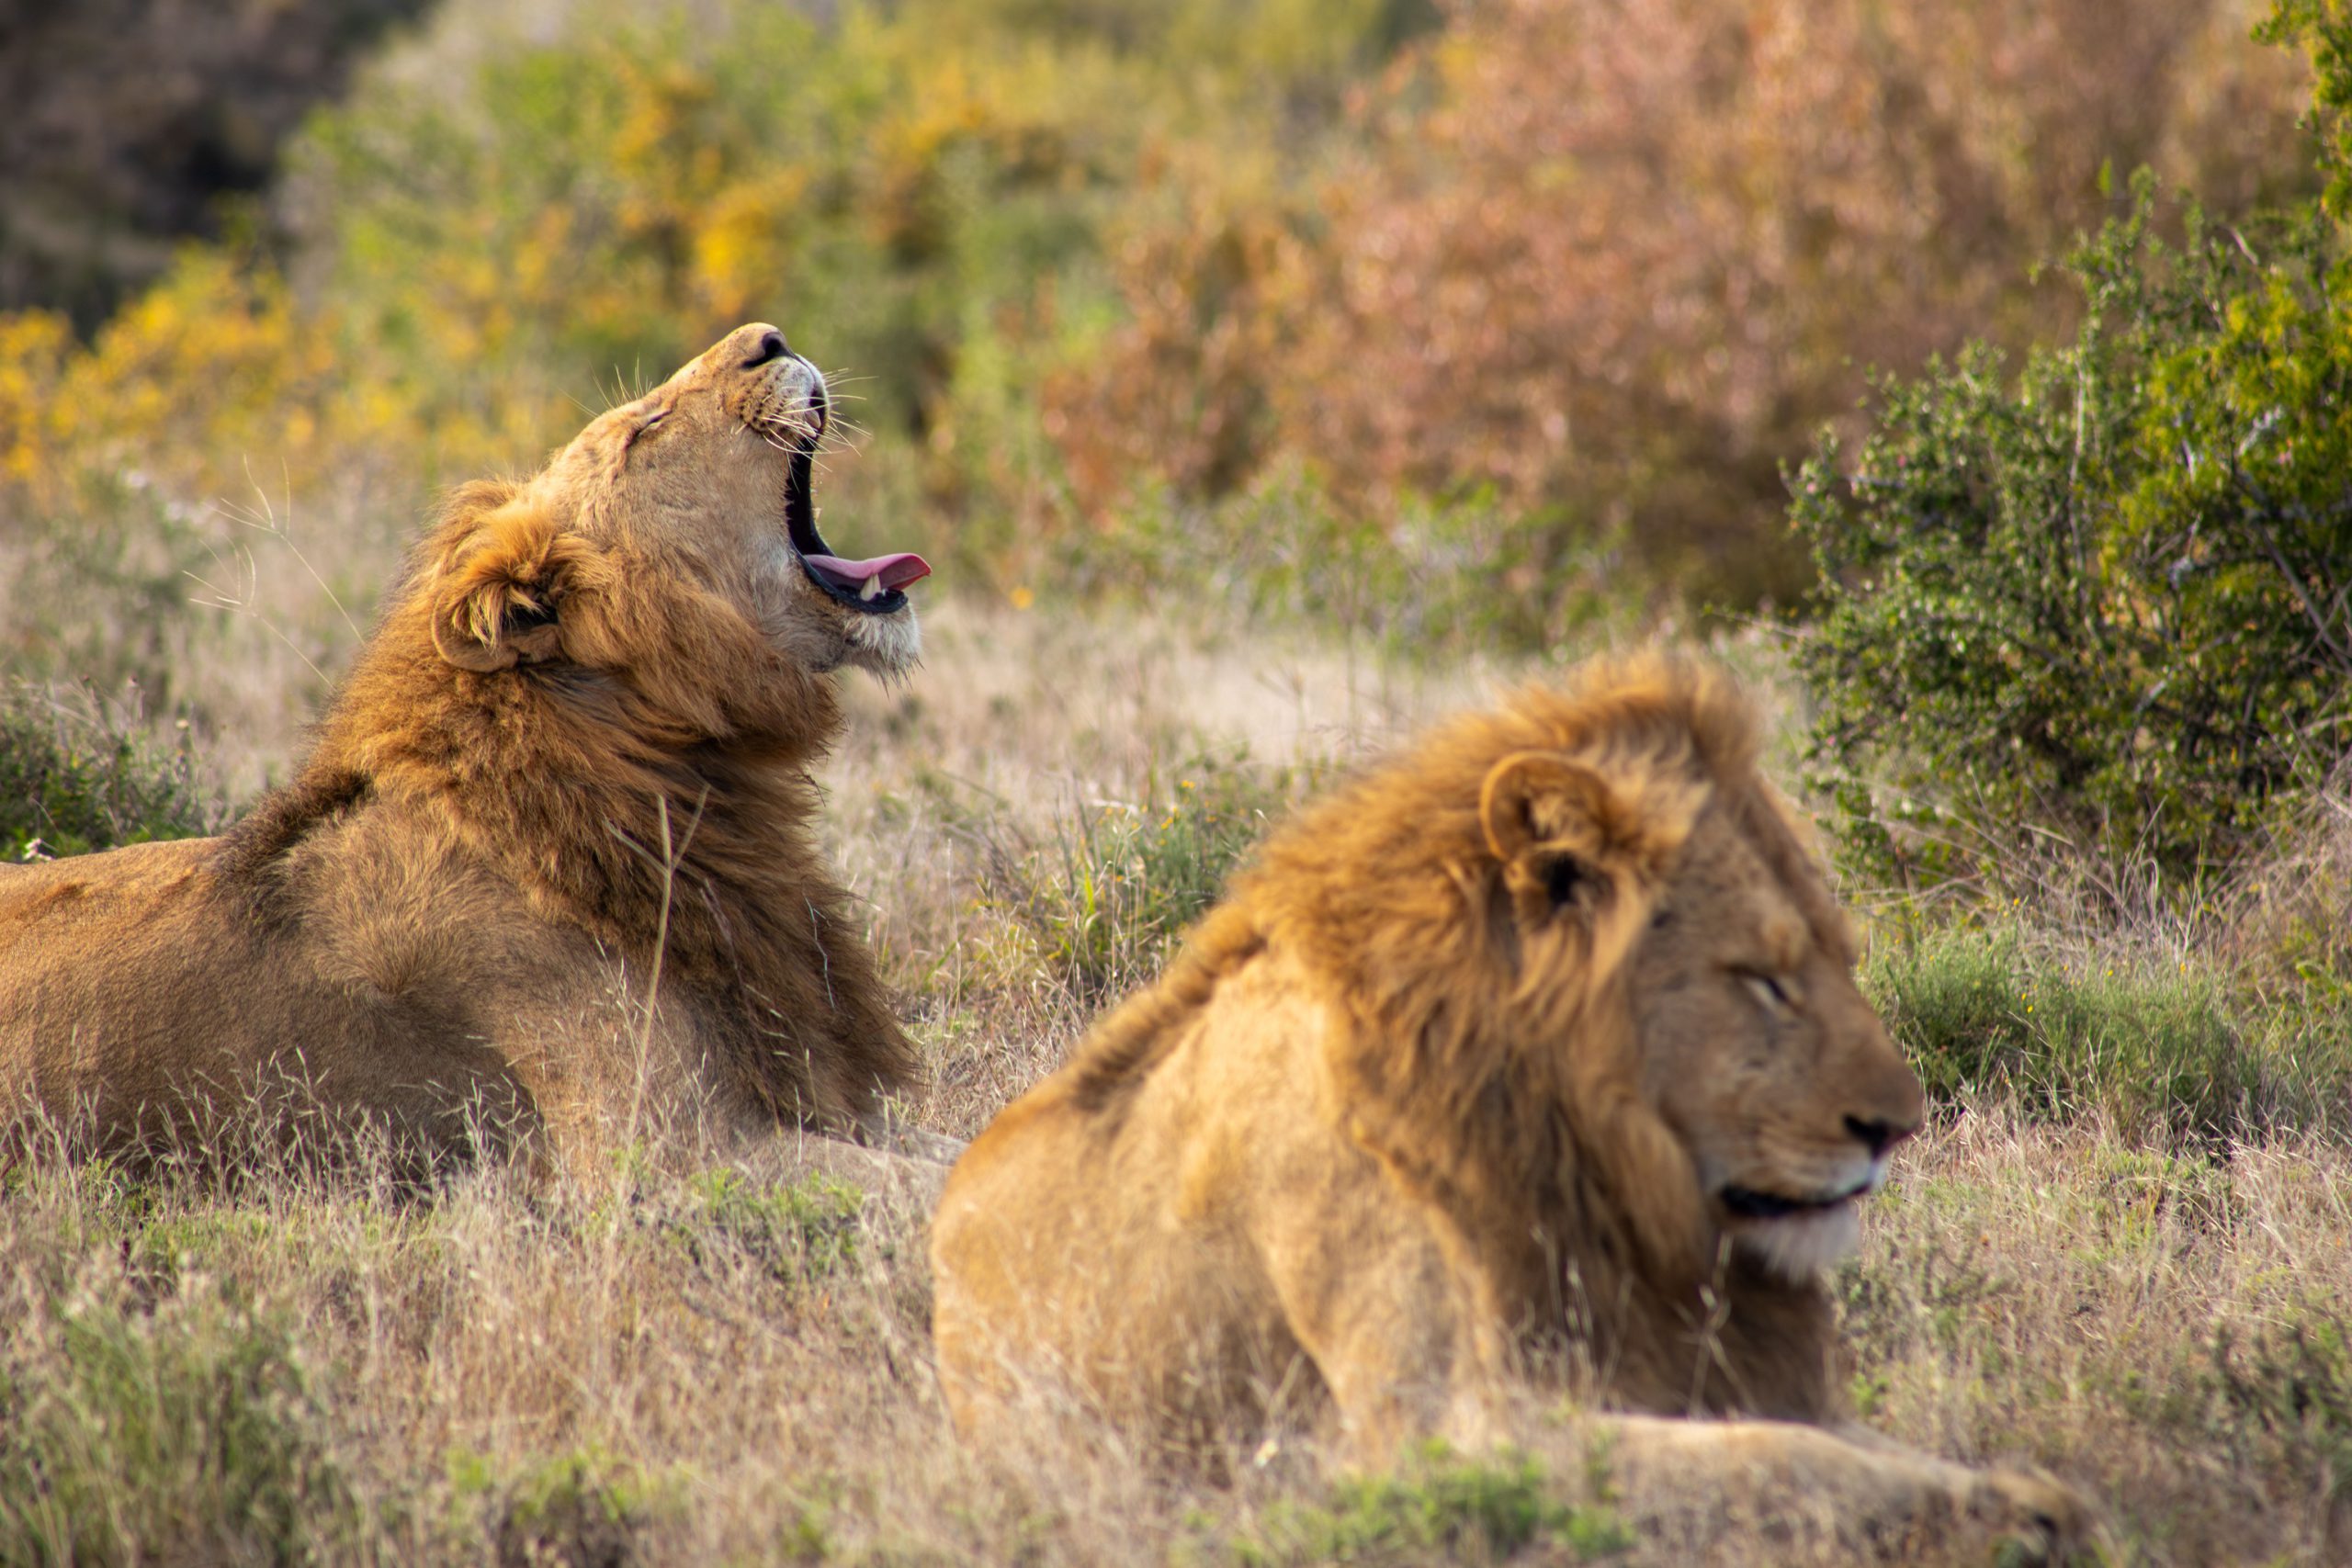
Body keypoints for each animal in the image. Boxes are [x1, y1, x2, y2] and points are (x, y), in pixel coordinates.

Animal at [935, 658, 2098, 1561]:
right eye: (1761, 979)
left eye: (1838, 961)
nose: (1897, 1127)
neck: (1574, 1148)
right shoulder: (1435, 1434)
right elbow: (1778, 1462)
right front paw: (2019, 1517)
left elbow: (1837, 1443)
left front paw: (2020, 1490)